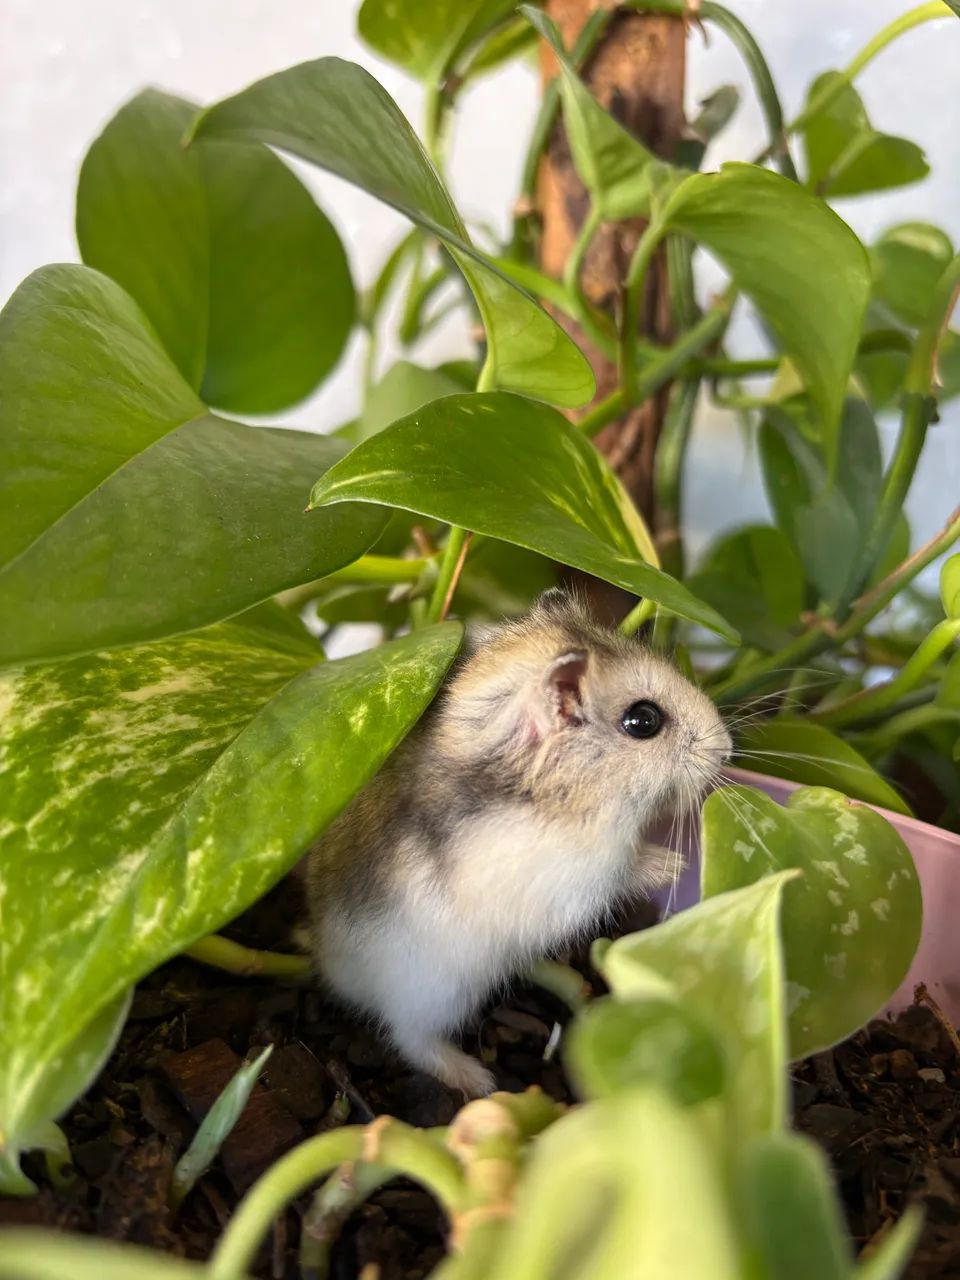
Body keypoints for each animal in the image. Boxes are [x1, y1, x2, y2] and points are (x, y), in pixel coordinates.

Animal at [306, 589, 732, 1097]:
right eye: (643, 720)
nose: (728, 749)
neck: (549, 795)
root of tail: (331, 968)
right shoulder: (578, 879)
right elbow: (625, 869)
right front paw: (673, 863)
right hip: (437, 993)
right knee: (411, 1039)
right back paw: (480, 1080)